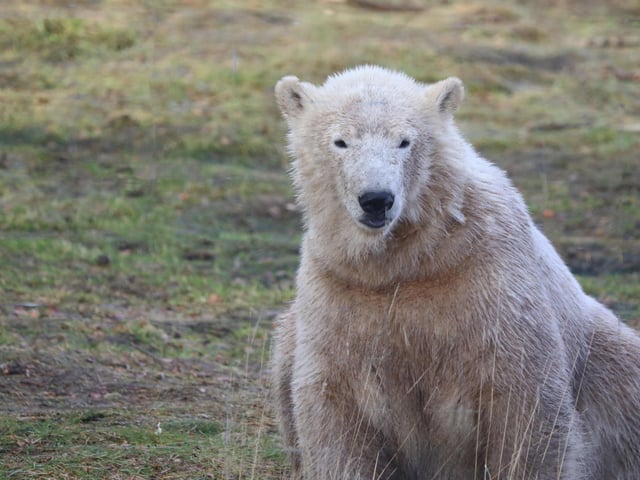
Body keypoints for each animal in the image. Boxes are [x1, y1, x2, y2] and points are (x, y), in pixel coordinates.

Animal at [270, 65, 640, 479]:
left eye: (404, 141)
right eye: (340, 141)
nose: (377, 200)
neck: (410, 257)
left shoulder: (487, 281)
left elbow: (526, 406)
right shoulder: (340, 290)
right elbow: (334, 408)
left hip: (599, 355)